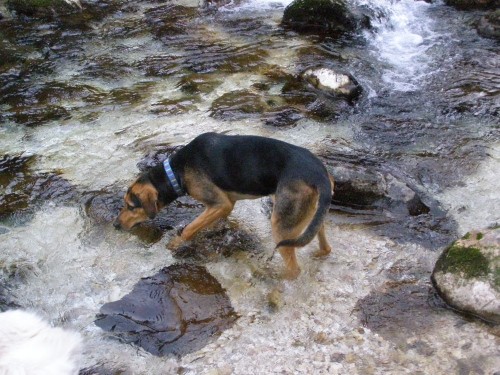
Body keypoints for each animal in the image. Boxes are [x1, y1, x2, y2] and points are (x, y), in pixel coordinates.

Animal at [115, 132, 334, 280]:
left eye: (130, 206)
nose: (116, 225)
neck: (176, 171)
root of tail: (320, 175)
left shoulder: (221, 204)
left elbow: (189, 228)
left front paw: (174, 244)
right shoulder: (225, 205)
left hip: (281, 224)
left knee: (294, 270)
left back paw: (273, 278)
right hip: (311, 214)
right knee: (325, 244)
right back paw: (320, 253)